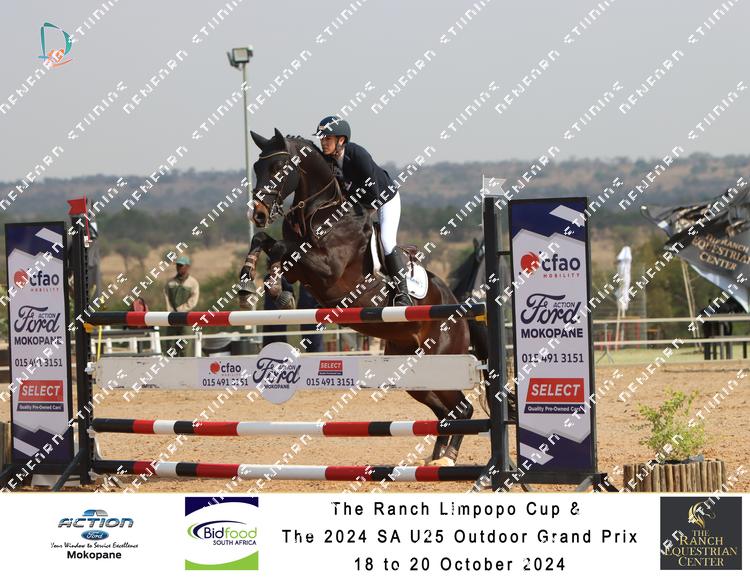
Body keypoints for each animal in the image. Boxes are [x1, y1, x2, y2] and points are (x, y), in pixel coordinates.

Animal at [238, 128, 476, 466]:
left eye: (279, 168)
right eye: (257, 168)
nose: (257, 214)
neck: (319, 211)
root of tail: (457, 305)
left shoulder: (327, 269)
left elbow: (285, 250)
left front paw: (271, 285)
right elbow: (266, 243)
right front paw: (254, 284)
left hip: (442, 359)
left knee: (463, 408)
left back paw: (447, 460)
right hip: (413, 370)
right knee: (447, 411)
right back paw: (435, 460)